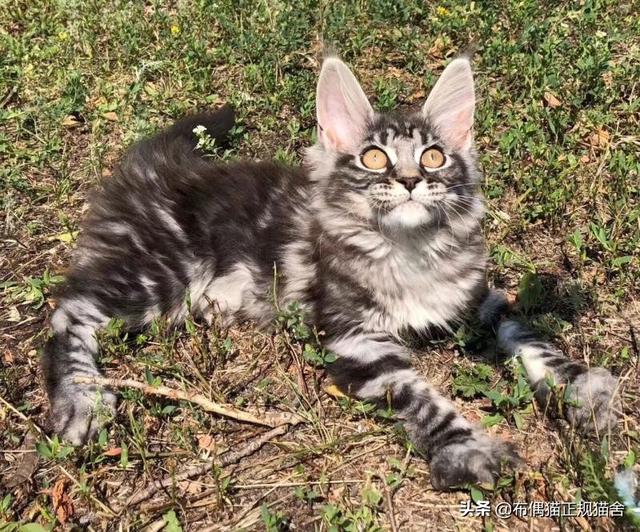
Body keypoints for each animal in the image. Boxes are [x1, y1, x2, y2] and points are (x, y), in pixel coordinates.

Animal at [43, 54, 619, 489]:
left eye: (433, 157)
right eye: (373, 158)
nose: (411, 179)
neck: (407, 251)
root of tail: (156, 168)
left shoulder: (475, 297)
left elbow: (525, 330)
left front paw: (580, 387)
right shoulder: (354, 336)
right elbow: (420, 396)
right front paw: (465, 447)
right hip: (161, 274)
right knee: (68, 312)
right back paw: (80, 398)